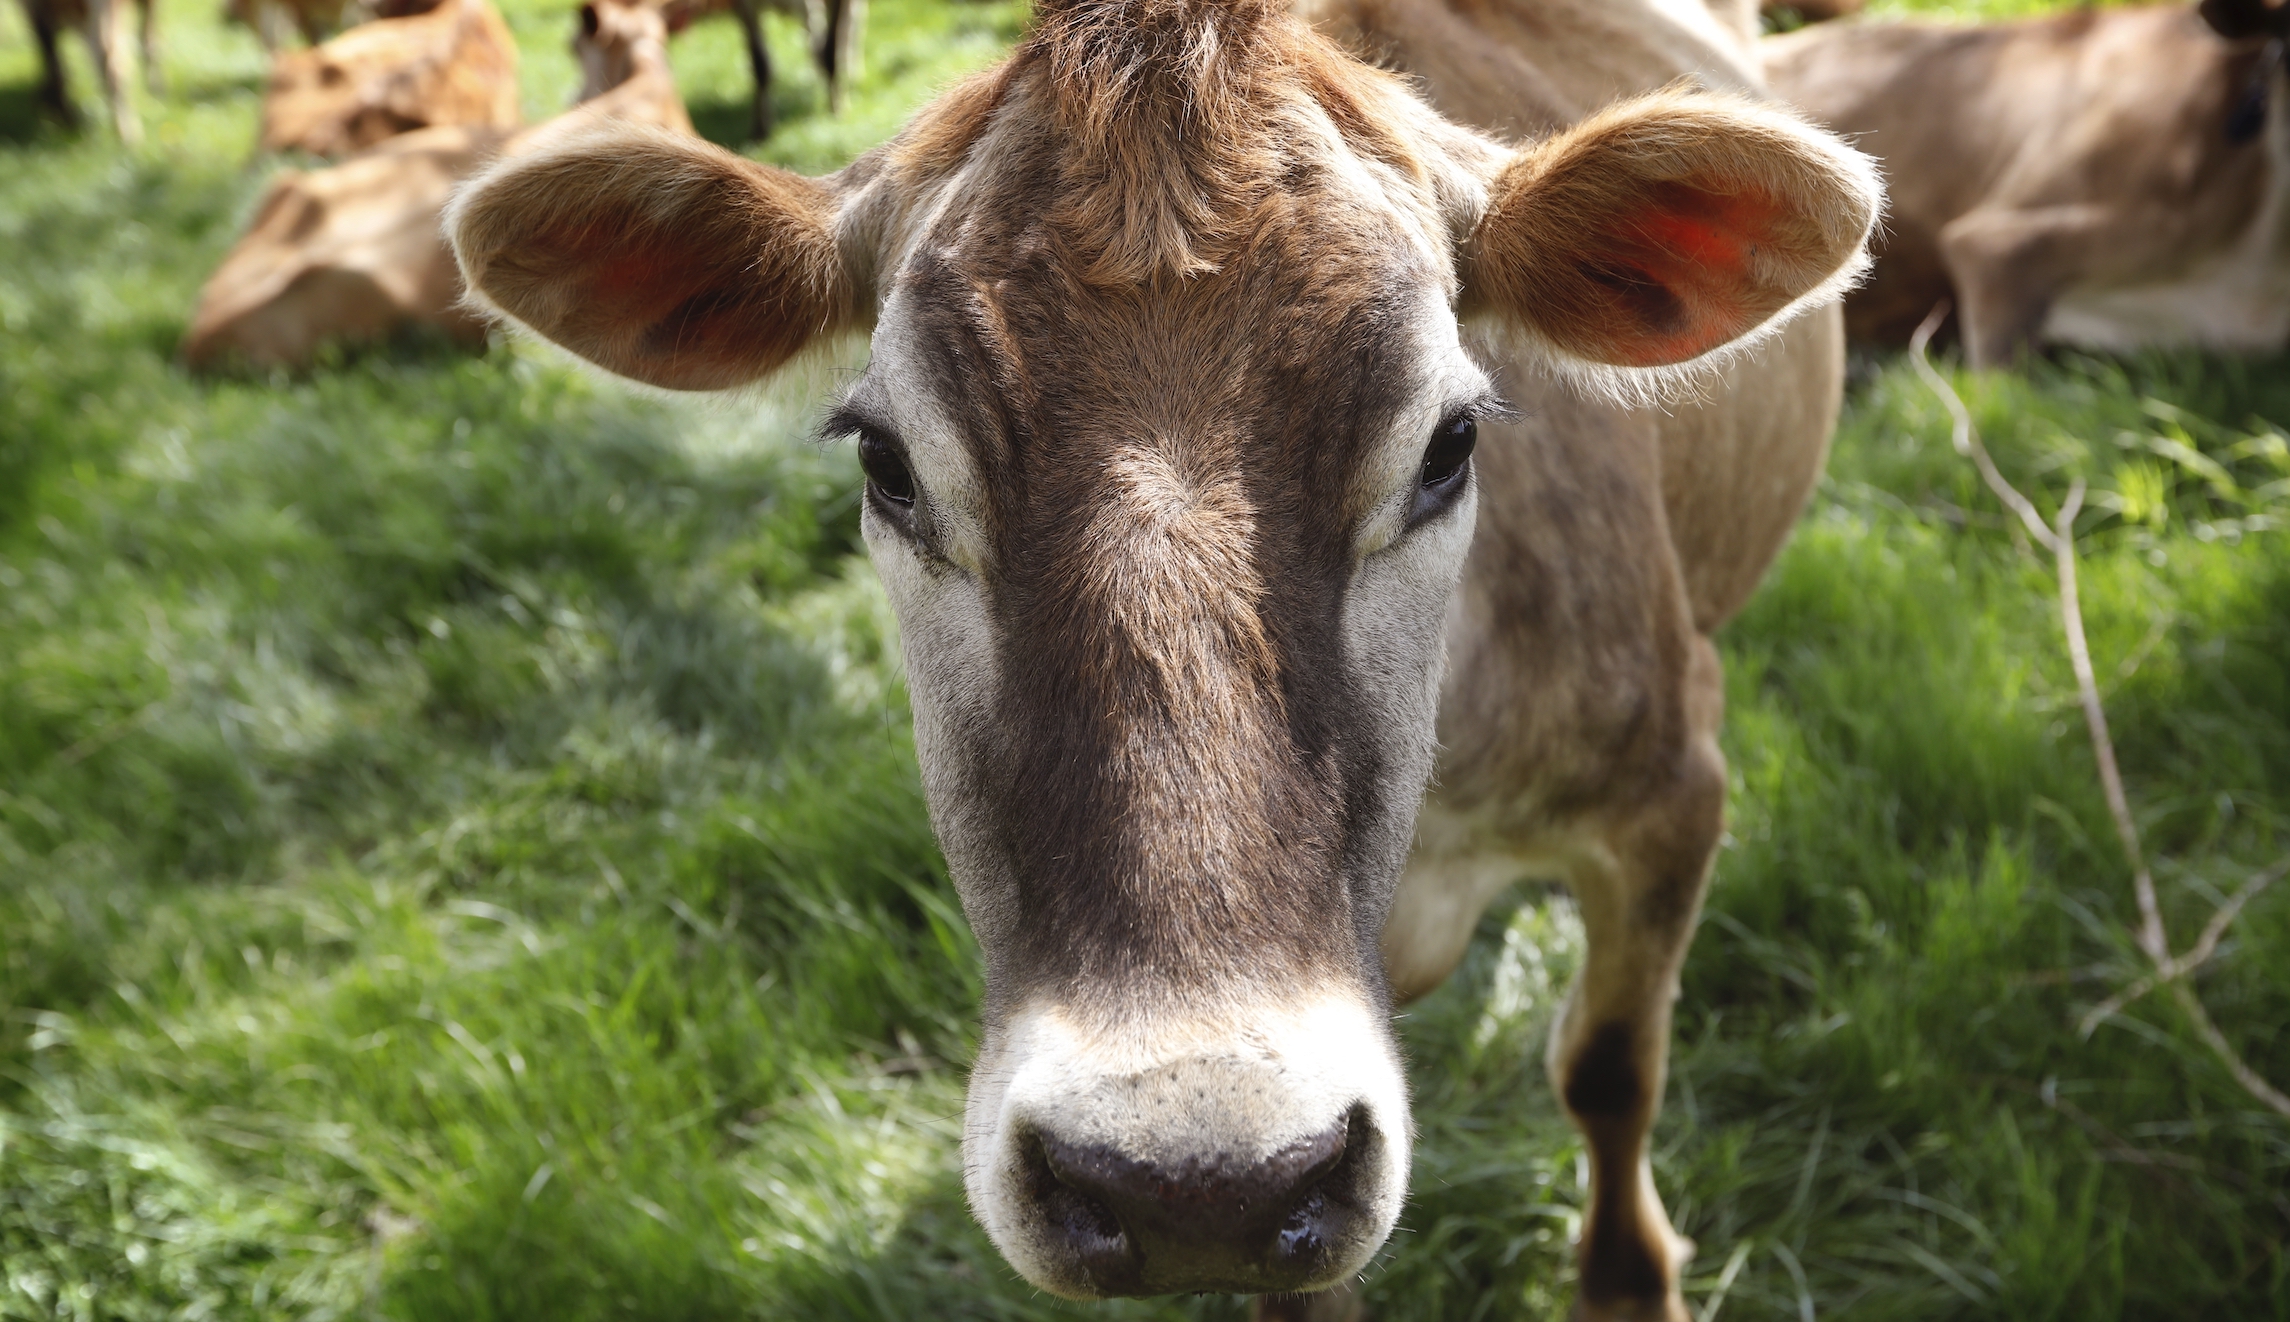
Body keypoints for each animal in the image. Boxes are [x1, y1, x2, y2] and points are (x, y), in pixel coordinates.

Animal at [658, 0, 862, 139]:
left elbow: (828, 53)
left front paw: (837, 110)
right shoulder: (745, 6)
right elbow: (760, 65)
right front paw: (761, 129)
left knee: (846, 25)